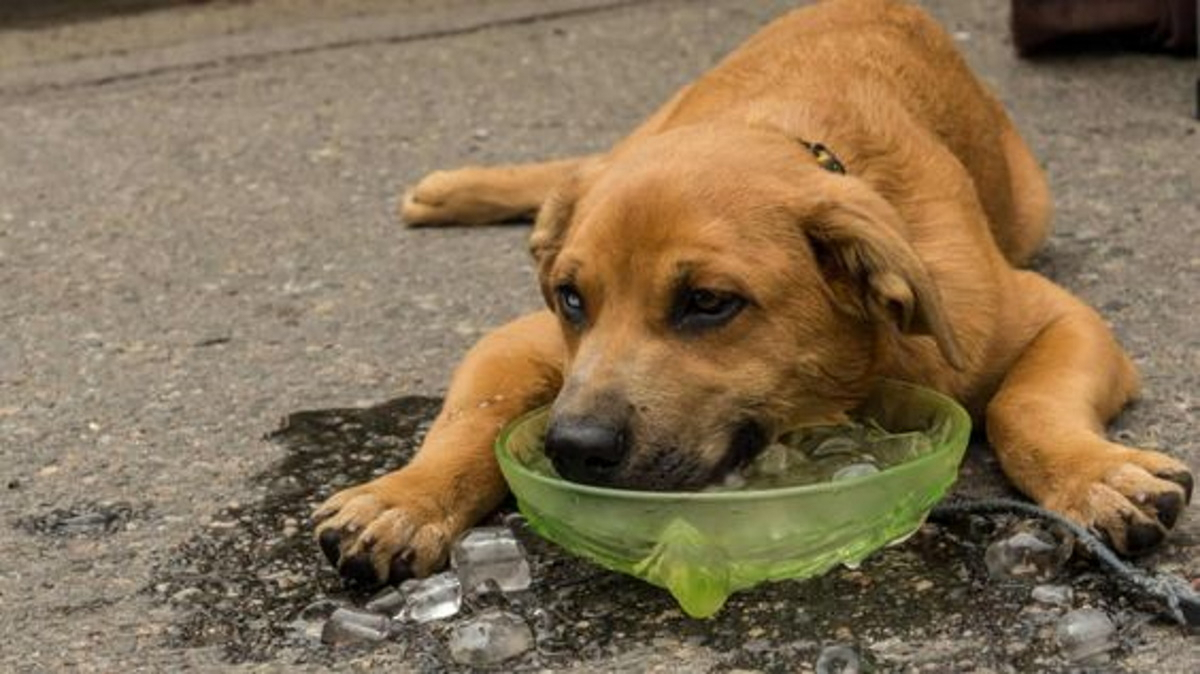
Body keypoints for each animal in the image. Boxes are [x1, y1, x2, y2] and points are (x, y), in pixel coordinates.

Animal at [309, 0, 1190, 585]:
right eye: (570, 299)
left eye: (708, 302)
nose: (574, 450)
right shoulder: (518, 340)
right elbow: (467, 423)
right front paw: (403, 498)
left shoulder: (1057, 319)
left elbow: (1025, 405)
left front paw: (1093, 476)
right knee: (580, 166)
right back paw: (453, 189)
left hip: (1032, 203)